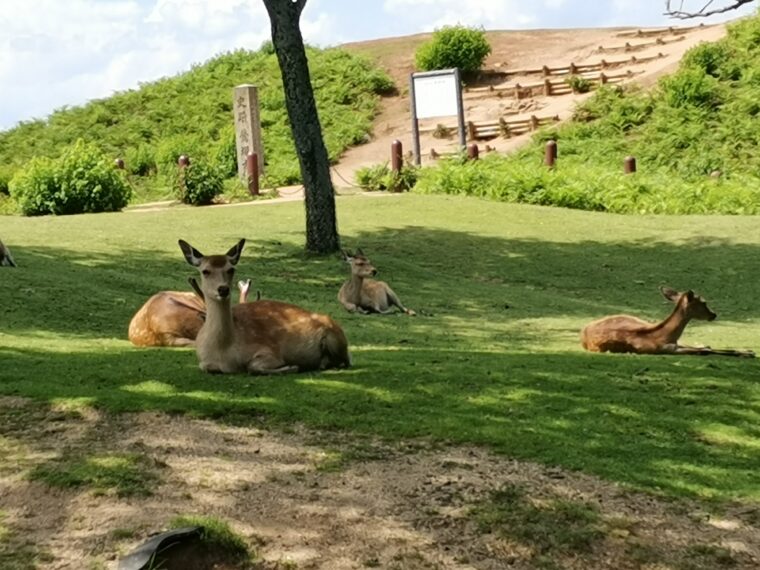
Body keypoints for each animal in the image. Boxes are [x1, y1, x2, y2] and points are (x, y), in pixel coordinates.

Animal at [178, 236, 350, 372]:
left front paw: (292, 366)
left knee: (345, 361)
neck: (223, 354)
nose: (223, 289)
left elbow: (252, 366)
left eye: (231, 269)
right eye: (205, 271)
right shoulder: (203, 361)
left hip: (336, 340)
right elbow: (206, 367)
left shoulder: (270, 352)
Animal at [580, 286, 756, 358]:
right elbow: (704, 351)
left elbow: (706, 347)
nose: (713, 315)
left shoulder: (676, 344)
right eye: (704, 302)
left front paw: (747, 351)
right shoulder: (666, 349)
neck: (664, 336)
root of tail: (583, 330)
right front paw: (747, 353)